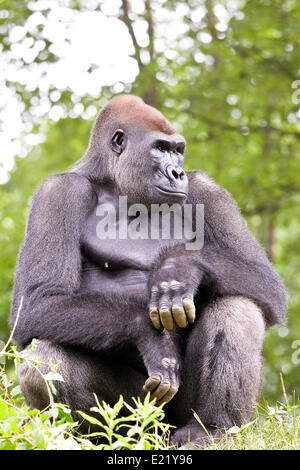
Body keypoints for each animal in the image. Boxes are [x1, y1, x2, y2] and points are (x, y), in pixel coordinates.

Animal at [10, 94, 288, 448]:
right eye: (159, 148)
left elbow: (265, 282)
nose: (177, 172)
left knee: (237, 305)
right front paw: (149, 335)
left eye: (178, 150)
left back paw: (212, 427)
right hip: (142, 417)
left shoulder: (206, 190)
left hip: (181, 416)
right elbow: (38, 301)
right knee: (45, 358)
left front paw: (179, 267)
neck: (115, 184)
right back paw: (98, 438)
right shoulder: (57, 194)